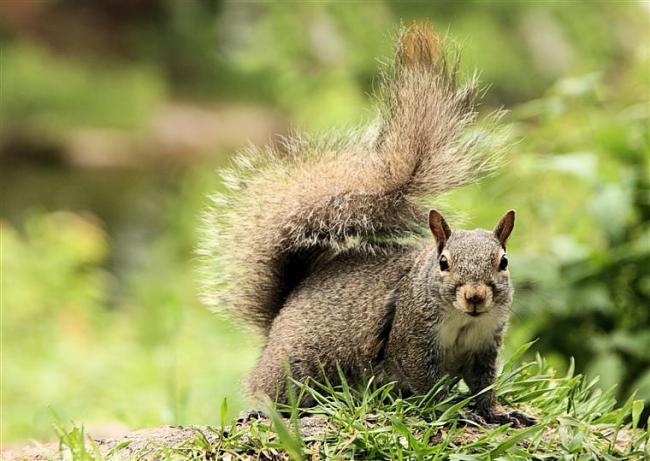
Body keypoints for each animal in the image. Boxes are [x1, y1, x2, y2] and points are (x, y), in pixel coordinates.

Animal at [202, 21, 536, 424]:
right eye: (443, 262)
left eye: (503, 261)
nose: (474, 296)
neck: (465, 321)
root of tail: (277, 321)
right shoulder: (409, 338)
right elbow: (425, 384)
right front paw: (451, 411)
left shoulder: (486, 345)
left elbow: (483, 385)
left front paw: (499, 412)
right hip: (294, 367)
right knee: (272, 392)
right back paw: (262, 411)